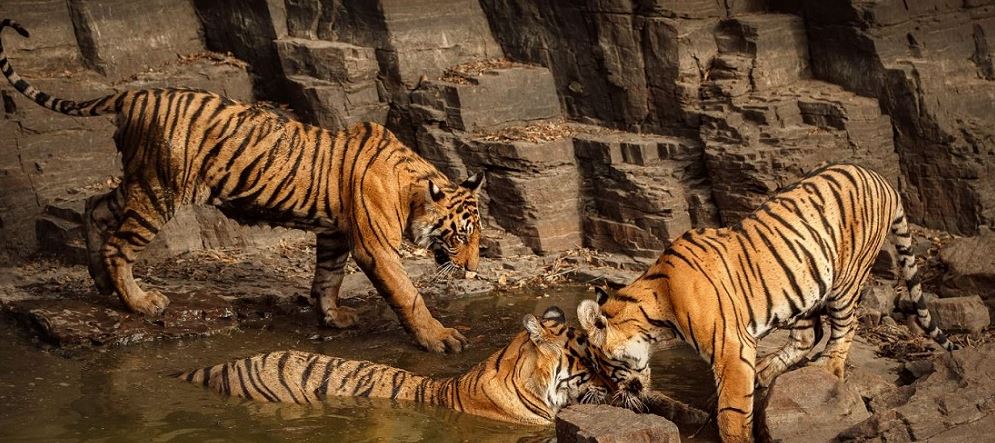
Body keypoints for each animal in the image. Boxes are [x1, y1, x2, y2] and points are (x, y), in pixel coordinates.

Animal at [1, 20, 484, 353]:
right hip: (160, 189)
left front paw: (332, 317)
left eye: (479, 238)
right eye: (460, 237)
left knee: (95, 205)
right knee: (120, 244)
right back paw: (142, 302)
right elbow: (408, 294)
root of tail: (134, 95)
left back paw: (102, 283)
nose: (473, 268)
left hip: (140, 180)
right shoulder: (376, 248)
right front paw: (441, 338)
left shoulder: (334, 233)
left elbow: (327, 277)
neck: (413, 187)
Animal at [575, 163, 959, 442]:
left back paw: (827, 369)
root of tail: (883, 180)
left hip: (846, 279)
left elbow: (730, 413)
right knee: (807, 336)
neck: (655, 314)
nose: (617, 397)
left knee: (843, 328)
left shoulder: (730, 349)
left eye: (605, 368)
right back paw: (766, 370)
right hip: (800, 289)